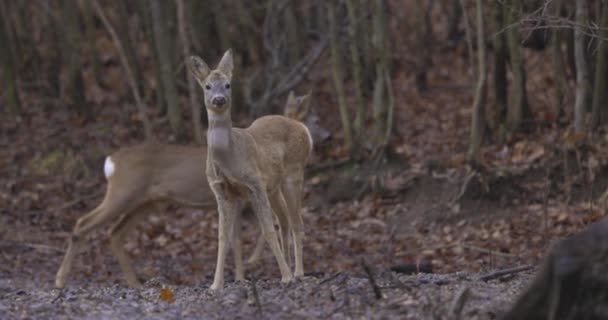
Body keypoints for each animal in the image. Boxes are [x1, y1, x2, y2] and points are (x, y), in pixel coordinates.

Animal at [53, 90, 328, 290]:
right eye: (313, 118)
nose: (328, 136)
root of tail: (111, 161)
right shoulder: (243, 200)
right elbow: (248, 235)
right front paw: (248, 268)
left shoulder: (241, 199)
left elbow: (239, 237)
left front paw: (240, 274)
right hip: (123, 192)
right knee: (84, 222)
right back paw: (60, 280)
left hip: (147, 203)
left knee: (115, 233)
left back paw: (134, 283)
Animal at [186, 49, 314, 290]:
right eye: (207, 86)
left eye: (227, 85)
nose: (219, 100)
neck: (229, 157)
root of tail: (302, 127)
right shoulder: (222, 192)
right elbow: (224, 238)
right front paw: (216, 284)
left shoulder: (254, 183)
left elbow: (267, 229)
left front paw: (286, 276)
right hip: (274, 187)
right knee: (284, 220)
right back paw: (288, 269)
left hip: (294, 173)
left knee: (296, 223)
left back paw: (297, 273)